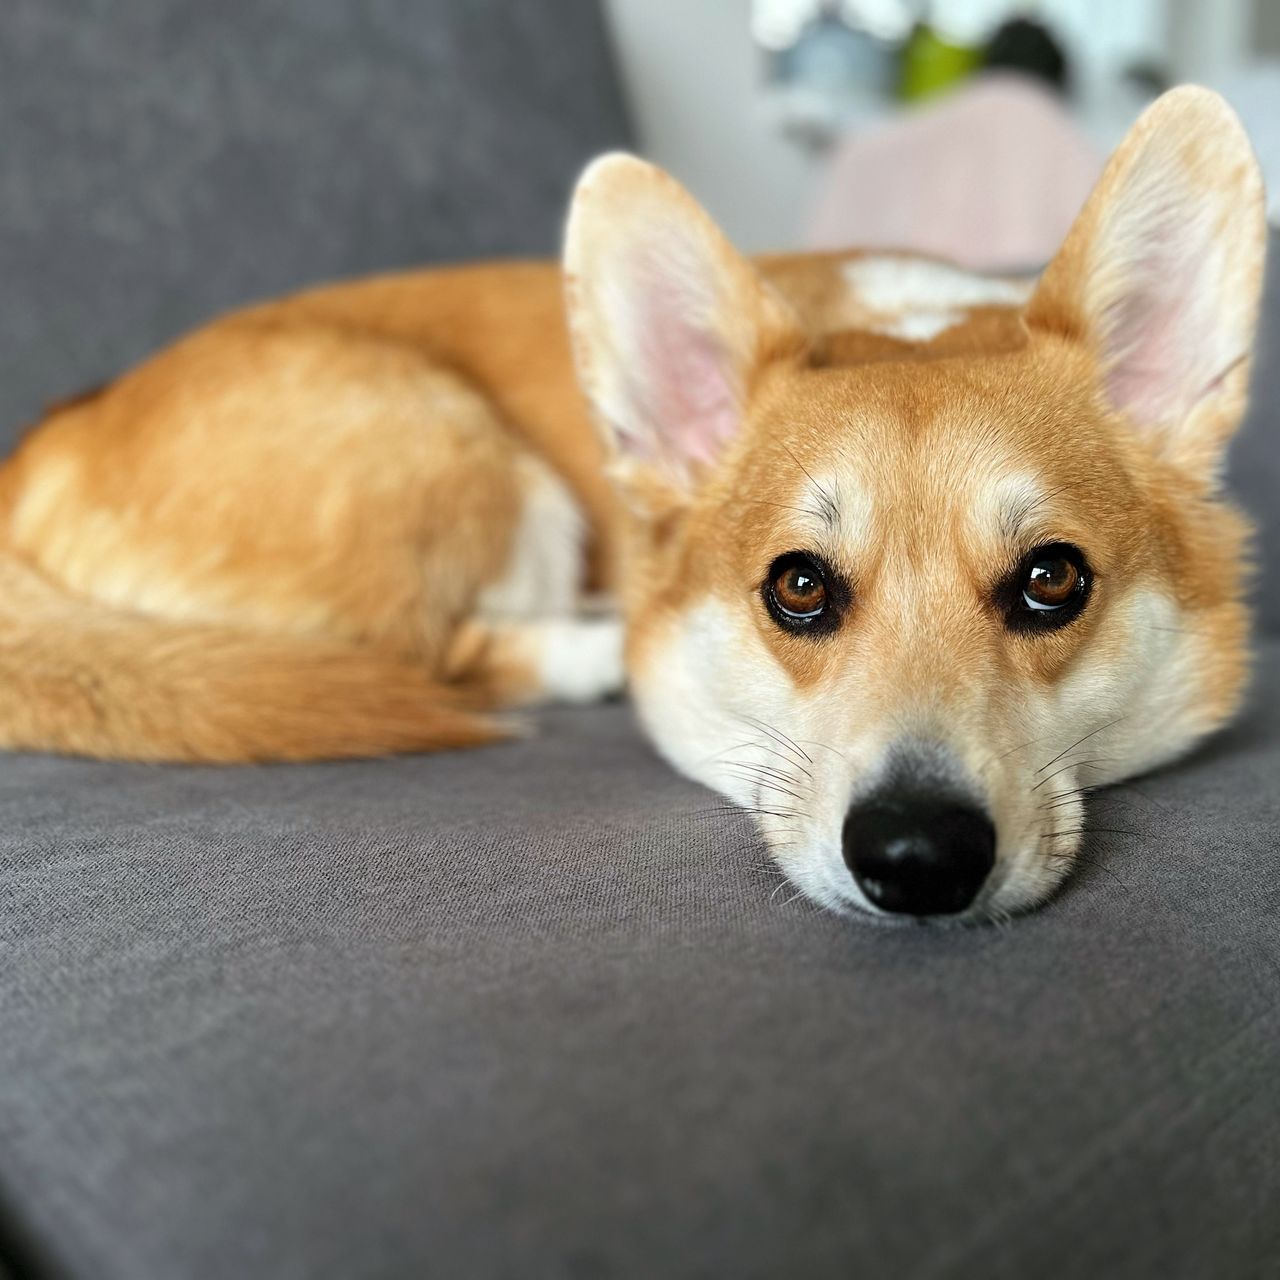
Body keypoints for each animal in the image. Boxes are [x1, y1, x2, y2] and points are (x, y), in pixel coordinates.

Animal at [0, 87, 1264, 921]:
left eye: (1051, 579)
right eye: (796, 586)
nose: (915, 859)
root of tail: (40, 446)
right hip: (469, 458)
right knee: (437, 650)